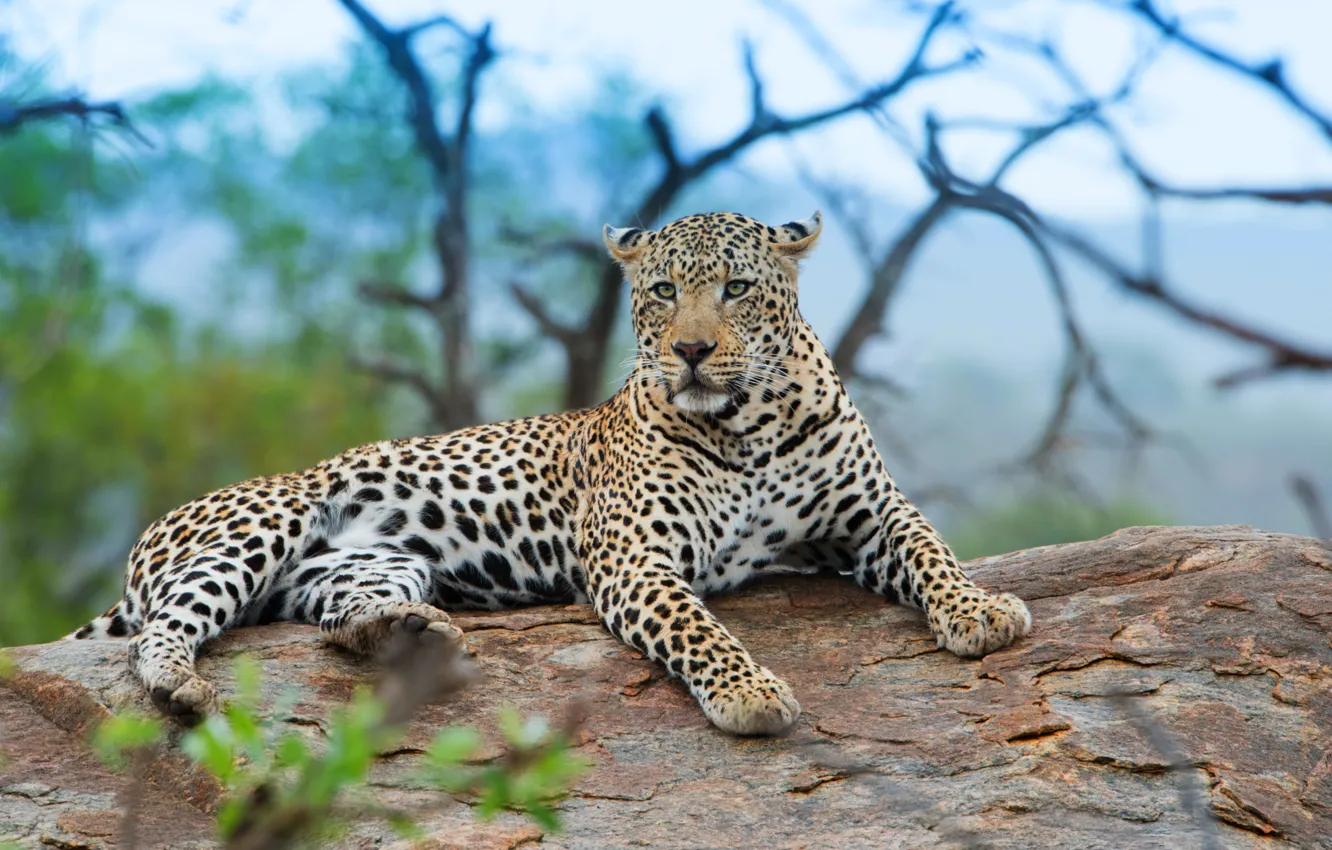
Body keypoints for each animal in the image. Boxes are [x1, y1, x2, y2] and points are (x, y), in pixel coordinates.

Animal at [69, 210, 1031, 735]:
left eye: (736, 289)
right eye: (660, 293)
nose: (690, 351)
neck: (749, 426)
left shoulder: (871, 514)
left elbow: (932, 549)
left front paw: (981, 610)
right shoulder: (637, 558)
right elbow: (699, 627)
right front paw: (749, 691)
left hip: (367, 567)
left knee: (336, 622)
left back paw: (410, 635)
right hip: (262, 524)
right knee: (164, 630)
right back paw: (182, 684)